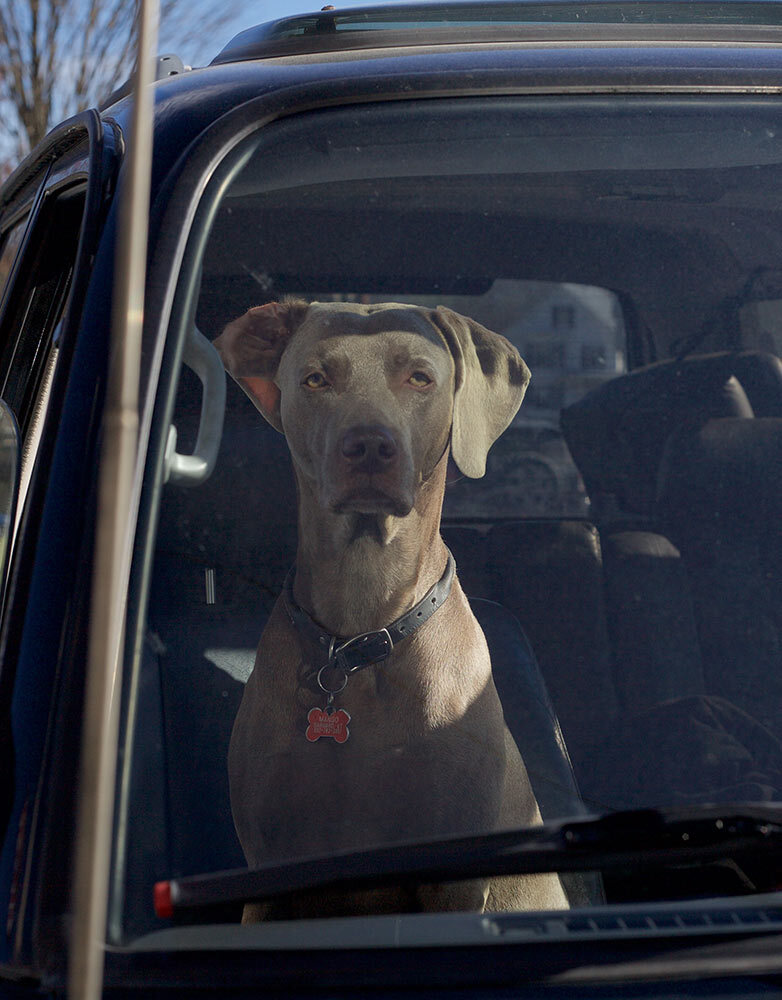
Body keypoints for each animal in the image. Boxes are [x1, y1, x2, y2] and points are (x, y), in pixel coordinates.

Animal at [214, 300, 568, 916]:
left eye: (420, 378)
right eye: (315, 379)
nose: (369, 446)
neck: (361, 634)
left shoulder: (453, 878)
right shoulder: (268, 861)